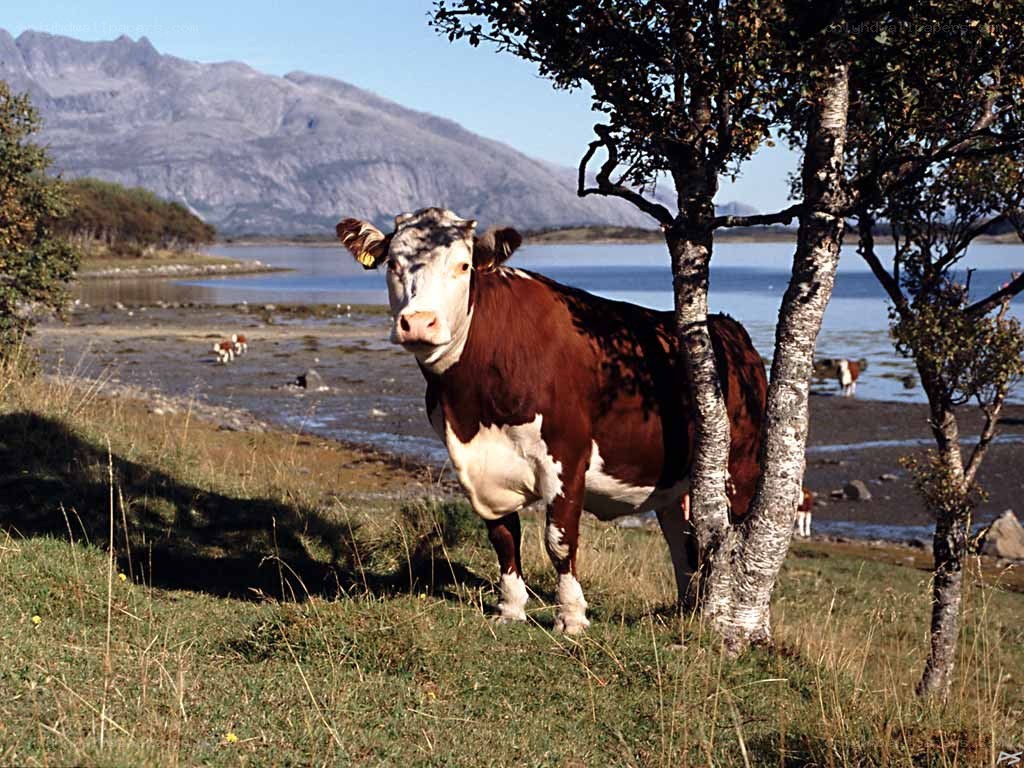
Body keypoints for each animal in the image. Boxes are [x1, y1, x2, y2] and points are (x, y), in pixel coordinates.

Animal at [336, 208, 767, 634]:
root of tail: (728, 328)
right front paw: (510, 608)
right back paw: (686, 611)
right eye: (393, 264)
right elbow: (502, 535)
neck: (474, 408)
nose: (419, 322)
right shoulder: (477, 465)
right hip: (674, 481)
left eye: (463, 265)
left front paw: (571, 616)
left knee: (738, 542)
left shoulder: (567, 454)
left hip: (741, 466)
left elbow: (559, 539)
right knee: (681, 540)